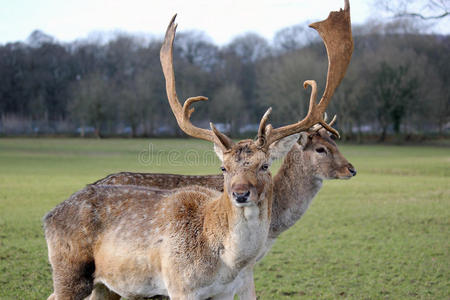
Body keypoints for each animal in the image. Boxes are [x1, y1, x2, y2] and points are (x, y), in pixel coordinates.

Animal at [44, 4, 350, 298]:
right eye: (321, 149)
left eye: (265, 165)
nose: (351, 168)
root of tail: (48, 216)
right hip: (74, 274)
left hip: (108, 285)